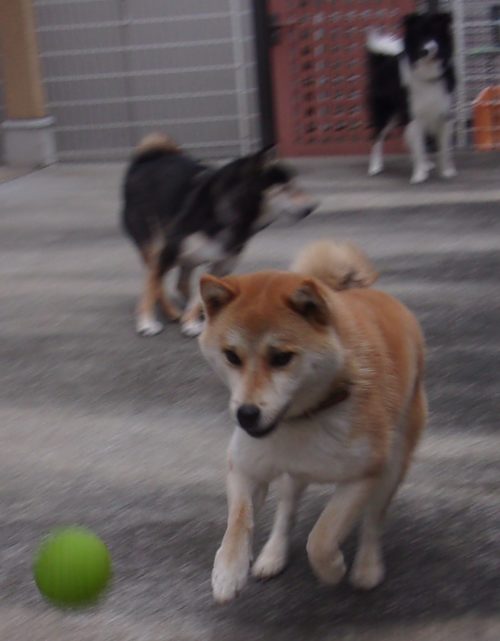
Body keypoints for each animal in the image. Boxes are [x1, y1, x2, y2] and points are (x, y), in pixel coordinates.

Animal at [121, 134, 317, 337]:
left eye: (297, 186)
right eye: (287, 188)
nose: (312, 207)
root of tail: (146, 160)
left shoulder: (223, 264)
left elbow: (197, 295)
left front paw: (191, 321)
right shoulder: (169, 250)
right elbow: (152, 287)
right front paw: (146, 322)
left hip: (187, 257)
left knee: (180, 284)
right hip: (155, 246)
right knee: (156, 281)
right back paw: (171, 311)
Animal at [198, 240, 427, 603]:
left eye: (281, 358)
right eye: (231, 356)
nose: (246, 414)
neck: (310, 414)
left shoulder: (362, 476)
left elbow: (321, 537)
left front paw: (332, 569)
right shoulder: (245, 467)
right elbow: (239, 520)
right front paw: (228, 571)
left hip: (392, 464)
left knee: (373, 522)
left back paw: (367, 567)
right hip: (294, 473)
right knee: (286, 511)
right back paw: (273, 555)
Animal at [366, 12, 456, 183]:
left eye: (435, 35)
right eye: (419, 36)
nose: (425, 51)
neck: (427, 73)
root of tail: (382, 61)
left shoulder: (442, 113)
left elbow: (443, 147)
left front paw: (446, 171)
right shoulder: (413, 115)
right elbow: (419, 147)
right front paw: (419, 175)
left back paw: (427, 164)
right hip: (387, 114)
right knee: (377, 138)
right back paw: (375, 167)